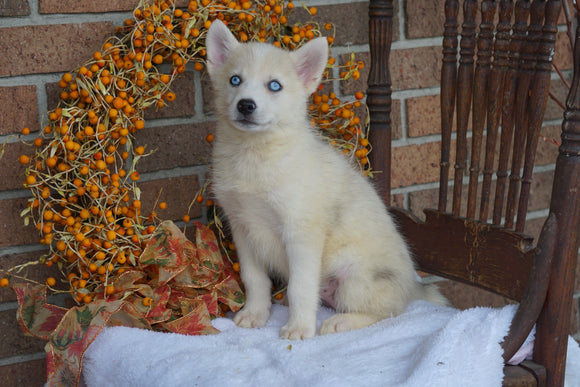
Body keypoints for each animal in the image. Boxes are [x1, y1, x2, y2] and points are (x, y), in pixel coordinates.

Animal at [206, 21, 446, 342]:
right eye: (235, 80)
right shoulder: (243, 229)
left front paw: (298, 328)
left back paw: (340, 322)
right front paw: (255, 314)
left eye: (274, 85)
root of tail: (414, 288)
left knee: (389, 313)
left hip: (354, 279)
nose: (246, 105)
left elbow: (300, 288)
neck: (254, 155)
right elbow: (254, 279)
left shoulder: (301, 234)